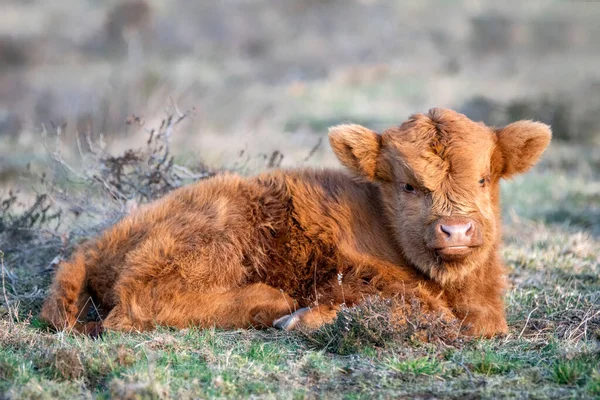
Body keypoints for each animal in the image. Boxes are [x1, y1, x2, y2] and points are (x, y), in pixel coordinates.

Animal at [39, 108, 552, 338]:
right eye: (408, 186)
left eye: (484, 178)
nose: (455, 231)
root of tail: (94, 246)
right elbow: (421, 309)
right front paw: (305, 317)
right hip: (212, 239)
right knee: (134, 307)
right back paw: (271, 303)